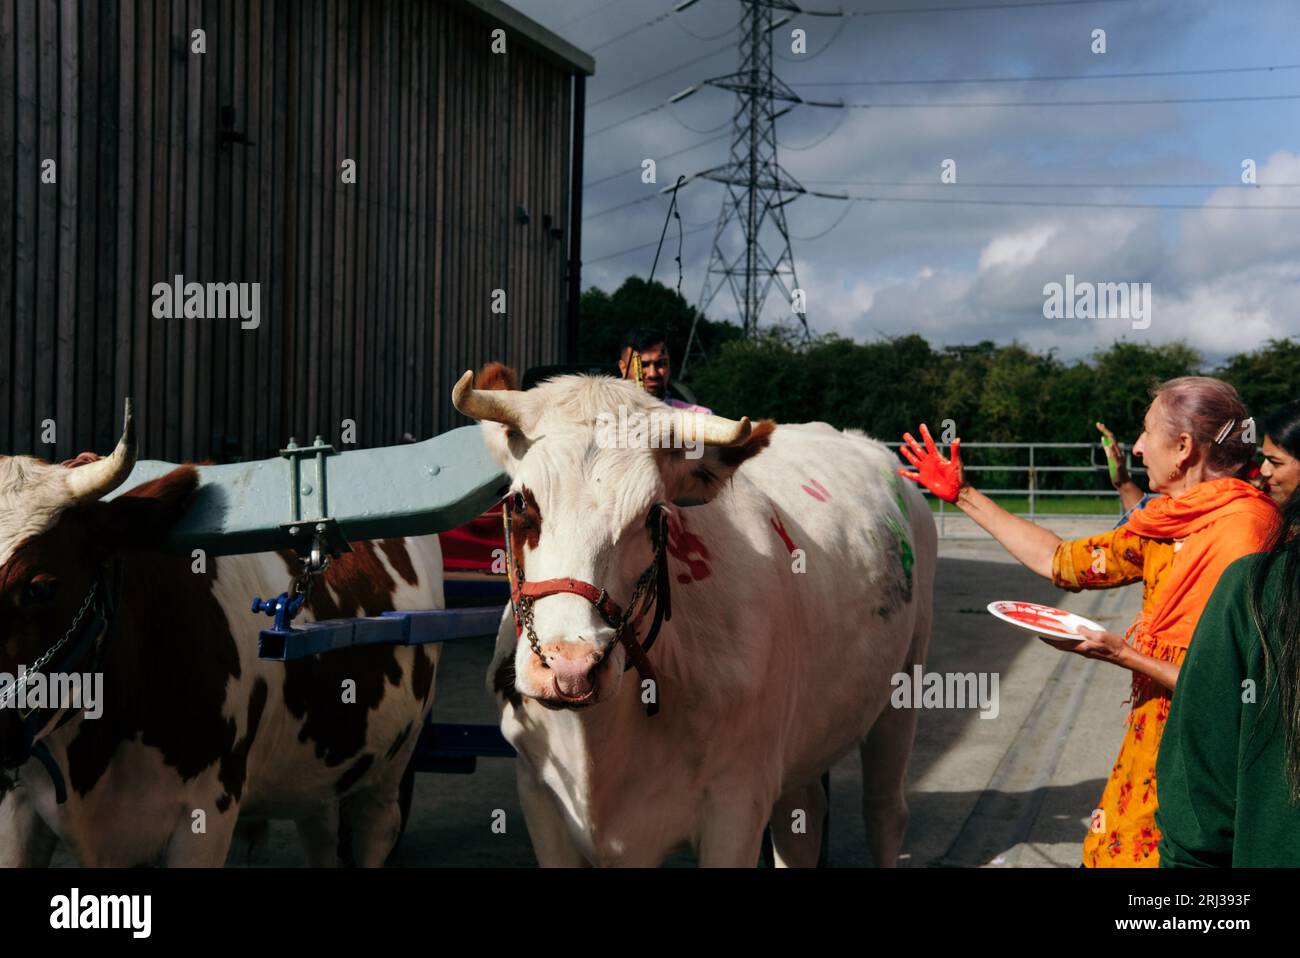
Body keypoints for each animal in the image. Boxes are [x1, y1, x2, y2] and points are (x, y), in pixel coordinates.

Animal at [454, 363, 935, 868]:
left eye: (653, 514)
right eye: (518, 502)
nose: (571, 667)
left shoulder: (738, 803)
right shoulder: (538, 794)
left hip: (902, 690)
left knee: (884, 812)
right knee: (801, 823)